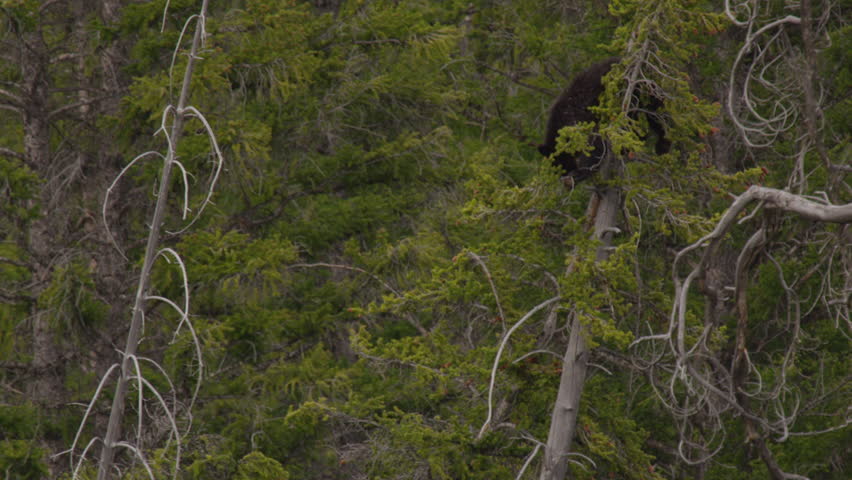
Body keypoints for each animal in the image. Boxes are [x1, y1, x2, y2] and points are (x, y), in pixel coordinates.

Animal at [538, 57, 670, 182]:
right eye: (556, 169)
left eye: (562, 165)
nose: (565, 181)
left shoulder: (583, 121)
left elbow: (596, 144)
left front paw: (582, 172)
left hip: (641, 91)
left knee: (657, 113)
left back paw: (663, 144)